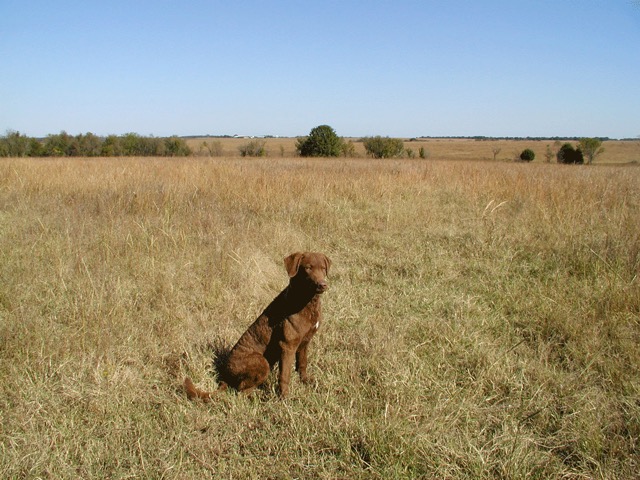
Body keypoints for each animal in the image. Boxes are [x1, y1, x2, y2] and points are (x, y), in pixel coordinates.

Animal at [185, 253, 332, 400]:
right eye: (308, 268)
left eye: (323, 268)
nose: (322, 284)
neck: (308, 301)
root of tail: (225, 376)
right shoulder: (288, 346)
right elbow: (285, 375)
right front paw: (284, 398)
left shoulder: (304, 342)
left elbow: (302, 364)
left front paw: (306, 382)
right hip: (262, 362)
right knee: (241, 391)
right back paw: (261, 397)